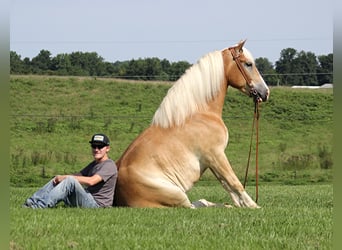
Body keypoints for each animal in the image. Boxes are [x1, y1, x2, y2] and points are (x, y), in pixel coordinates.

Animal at [114, 40, 270, 208]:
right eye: (248, 64)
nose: (265, 92)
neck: (200, 113)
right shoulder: (216, 155)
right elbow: (234, 182)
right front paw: (254, 206)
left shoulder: (212, 160)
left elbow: (228, 187)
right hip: (178, 195)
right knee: (192, 206)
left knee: (200, 203)